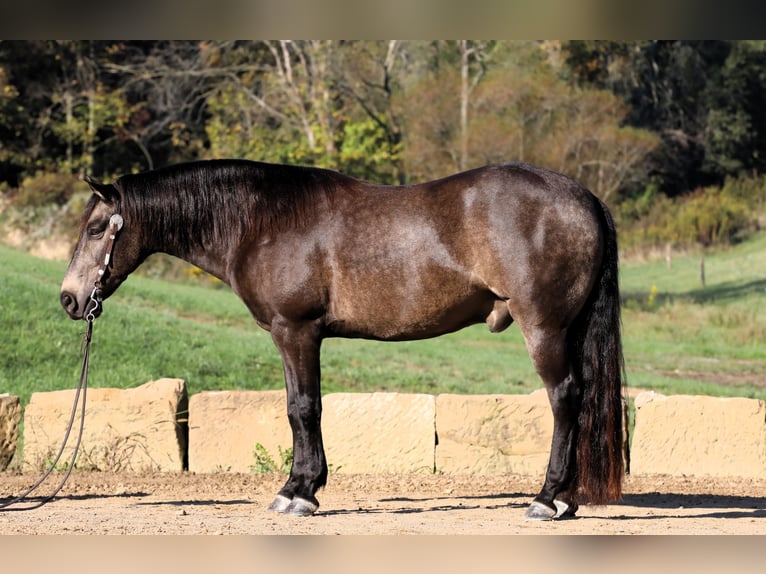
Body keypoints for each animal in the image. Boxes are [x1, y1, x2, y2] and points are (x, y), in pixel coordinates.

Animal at [58, 159, 624, 520]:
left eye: (94, 230)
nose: (69, 299)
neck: (263, 220)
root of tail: (585, 198)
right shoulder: (294, 334)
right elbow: (298, 407)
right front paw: (302, 486)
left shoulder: (296, 330)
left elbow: (303, 409)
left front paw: (299, 492)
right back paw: (567, 498)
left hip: (544, 328)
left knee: (564, 399)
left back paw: (547, 498)